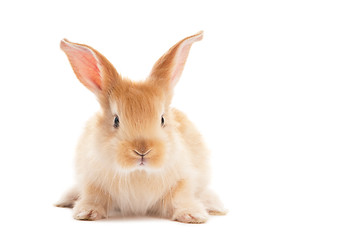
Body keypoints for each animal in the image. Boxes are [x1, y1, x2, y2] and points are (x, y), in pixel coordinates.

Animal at [54, 31, 225, 223]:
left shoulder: (182, 179)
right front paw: (87, 212)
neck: (138, 172)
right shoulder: (92, 179)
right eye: (116, 120)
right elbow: (94, 196)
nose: (142, 151)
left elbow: (181, 197)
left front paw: (192, 215)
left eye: (162, 119)